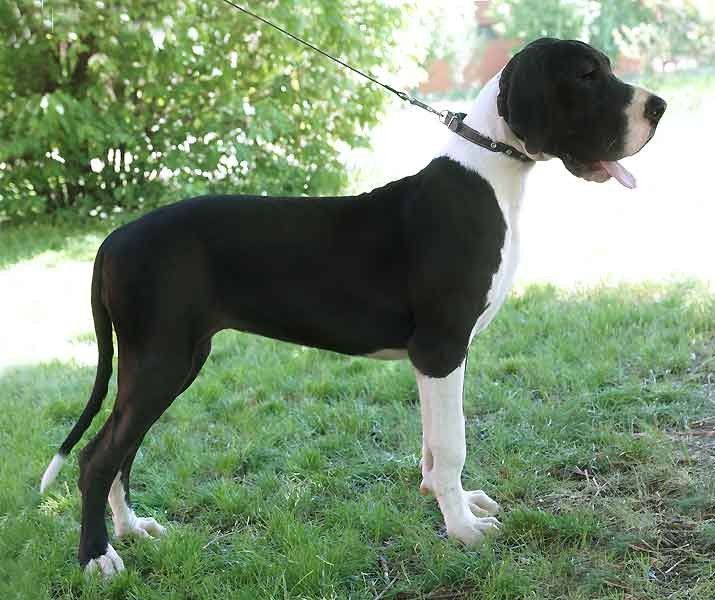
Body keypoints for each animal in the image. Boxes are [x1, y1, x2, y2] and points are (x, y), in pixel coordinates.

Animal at [40, 38, 666, 575]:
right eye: (586, 76)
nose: (659, 107)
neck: (492, 175)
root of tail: (111, 241)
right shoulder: (441, 348)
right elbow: (452, 443)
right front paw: (462, 529)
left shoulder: (434, 361)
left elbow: (434, 447)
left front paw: (449, 502)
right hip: (160, 361)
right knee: (98, 457)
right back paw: (97, 556)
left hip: (172, 361)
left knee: (119, 449)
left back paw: (131, 528)